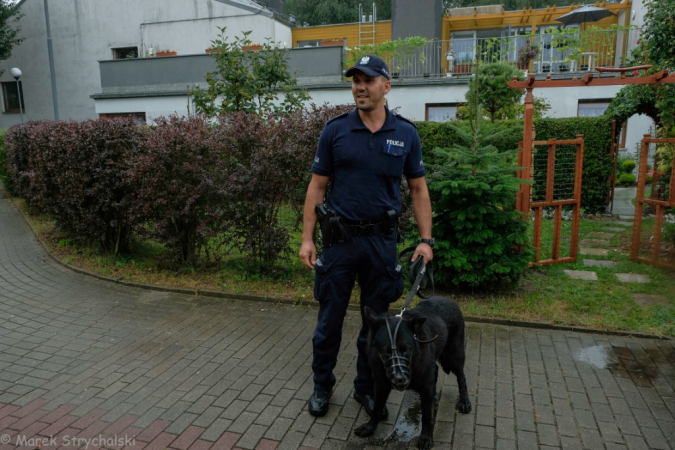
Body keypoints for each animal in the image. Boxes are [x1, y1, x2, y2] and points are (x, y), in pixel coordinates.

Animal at [356, 298, 472, 448]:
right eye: (386, 351)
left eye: (406, 349)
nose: (400, 380)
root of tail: (448, 299)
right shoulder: (380, 385)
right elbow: (376, 408)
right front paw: (370, 427)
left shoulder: (426, 386)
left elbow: (427, 415)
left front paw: (426, 437)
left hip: (453, 357)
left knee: (461, 377)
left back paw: (465, 401)